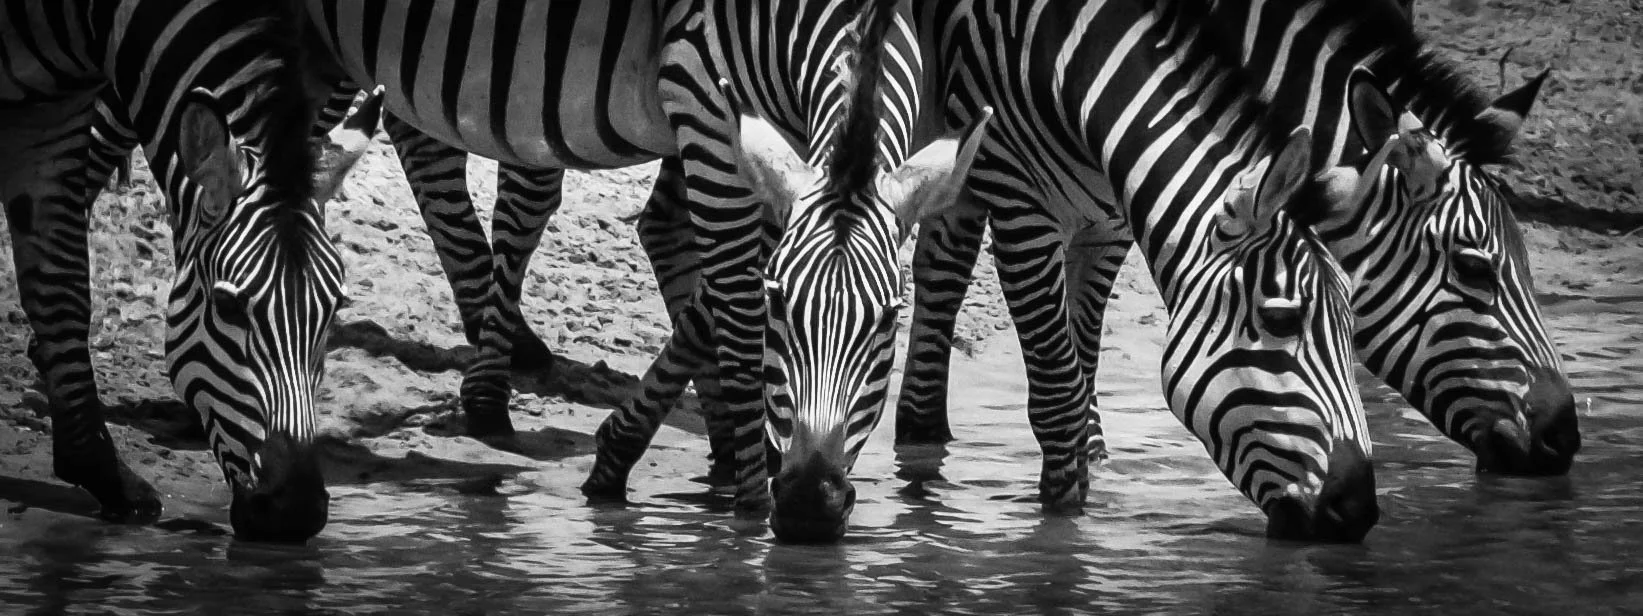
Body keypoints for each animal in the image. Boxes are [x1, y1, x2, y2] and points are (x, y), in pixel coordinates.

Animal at [1, 1, 379, 542]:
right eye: (226, 306)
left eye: (335, 310)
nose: (295, 515)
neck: (90, 24)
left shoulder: (54, 118)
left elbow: (60, 287)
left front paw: (102, 474)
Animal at [292, 0, 980, 542]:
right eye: (779, 307)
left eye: (890, 321)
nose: (811, 508)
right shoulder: (705, 100)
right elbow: (733, 305)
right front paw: (745, 519)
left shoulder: (770, 144)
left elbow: (707, 301)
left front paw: (630, 453)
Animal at [895, 0, 1579, 477]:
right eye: (1474, 268)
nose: (1565, 440)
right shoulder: (1016, 192)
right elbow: (1060, 386)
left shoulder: (1111, 214)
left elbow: (1082, 369)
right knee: (945, 258)